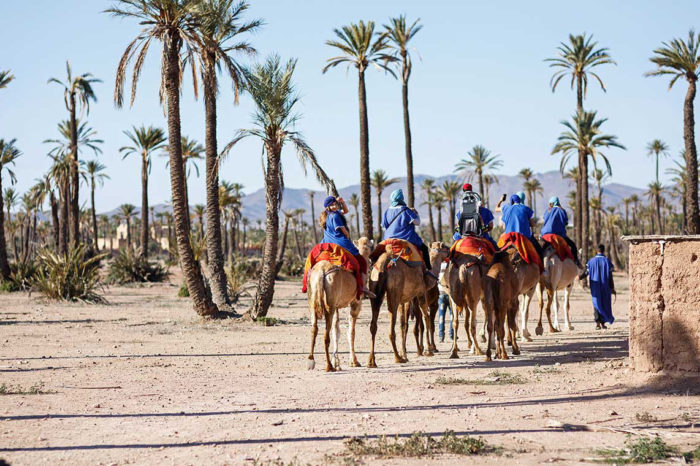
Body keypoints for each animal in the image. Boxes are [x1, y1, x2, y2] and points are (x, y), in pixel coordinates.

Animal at [306, 237, 372, 372]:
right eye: (370, 247)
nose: (371, 260)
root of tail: (321, 272)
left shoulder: (336, 305)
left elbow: (336, 331)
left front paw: (337, 363)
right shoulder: (356, 302)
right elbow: (351, 332)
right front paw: (354, 362)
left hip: (314, 300)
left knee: (314, 329)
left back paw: (311, 361)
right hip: (330, 304)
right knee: (325, 335)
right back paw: (328, 366)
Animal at [366, 240, 438, 368]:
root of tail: (383, 266)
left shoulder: (404, 300)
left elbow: (403, 324)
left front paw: (405, 353)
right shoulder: (420, 293)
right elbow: (426, 317)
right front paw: (428, 350)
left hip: (375, 291)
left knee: (373, 324)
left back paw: (371, 361)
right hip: (394, 293)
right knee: (391, 327)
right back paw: (397, 358)